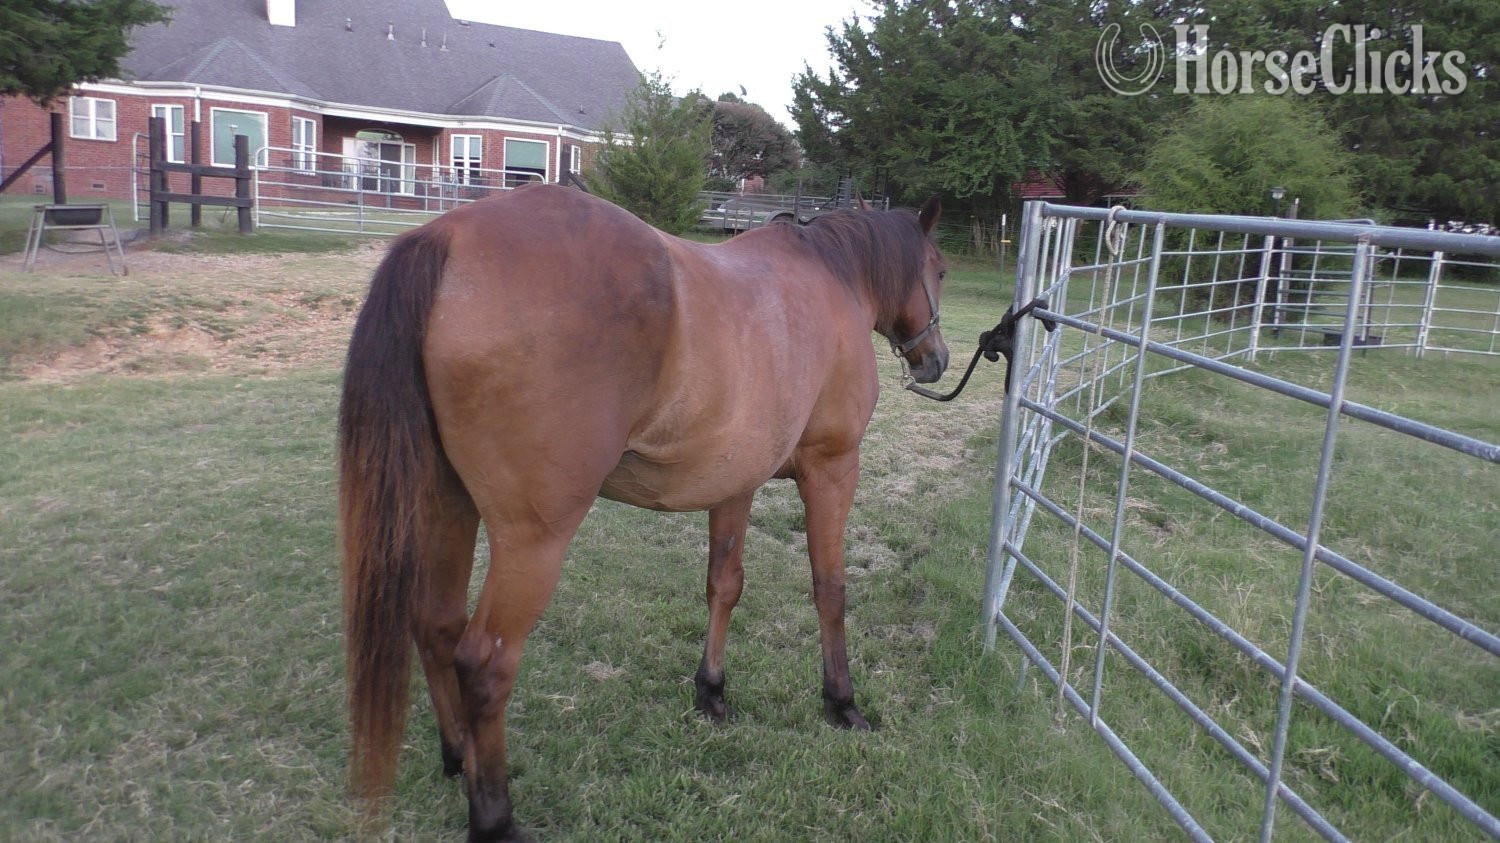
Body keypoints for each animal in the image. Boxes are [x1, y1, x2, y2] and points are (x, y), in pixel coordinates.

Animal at [339, 183, 949, 841]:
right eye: (939, 270)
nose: (936, 359)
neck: (831, 277)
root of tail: (449, 238)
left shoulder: (735, 484)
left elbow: (724, 585)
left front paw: (711, 691)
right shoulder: (833, 470)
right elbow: (830, 589)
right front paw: (842, 701)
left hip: (447, 505)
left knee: (435, 625)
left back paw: (458, 757)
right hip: (532, 541)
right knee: (484, 663)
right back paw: (494, 817)